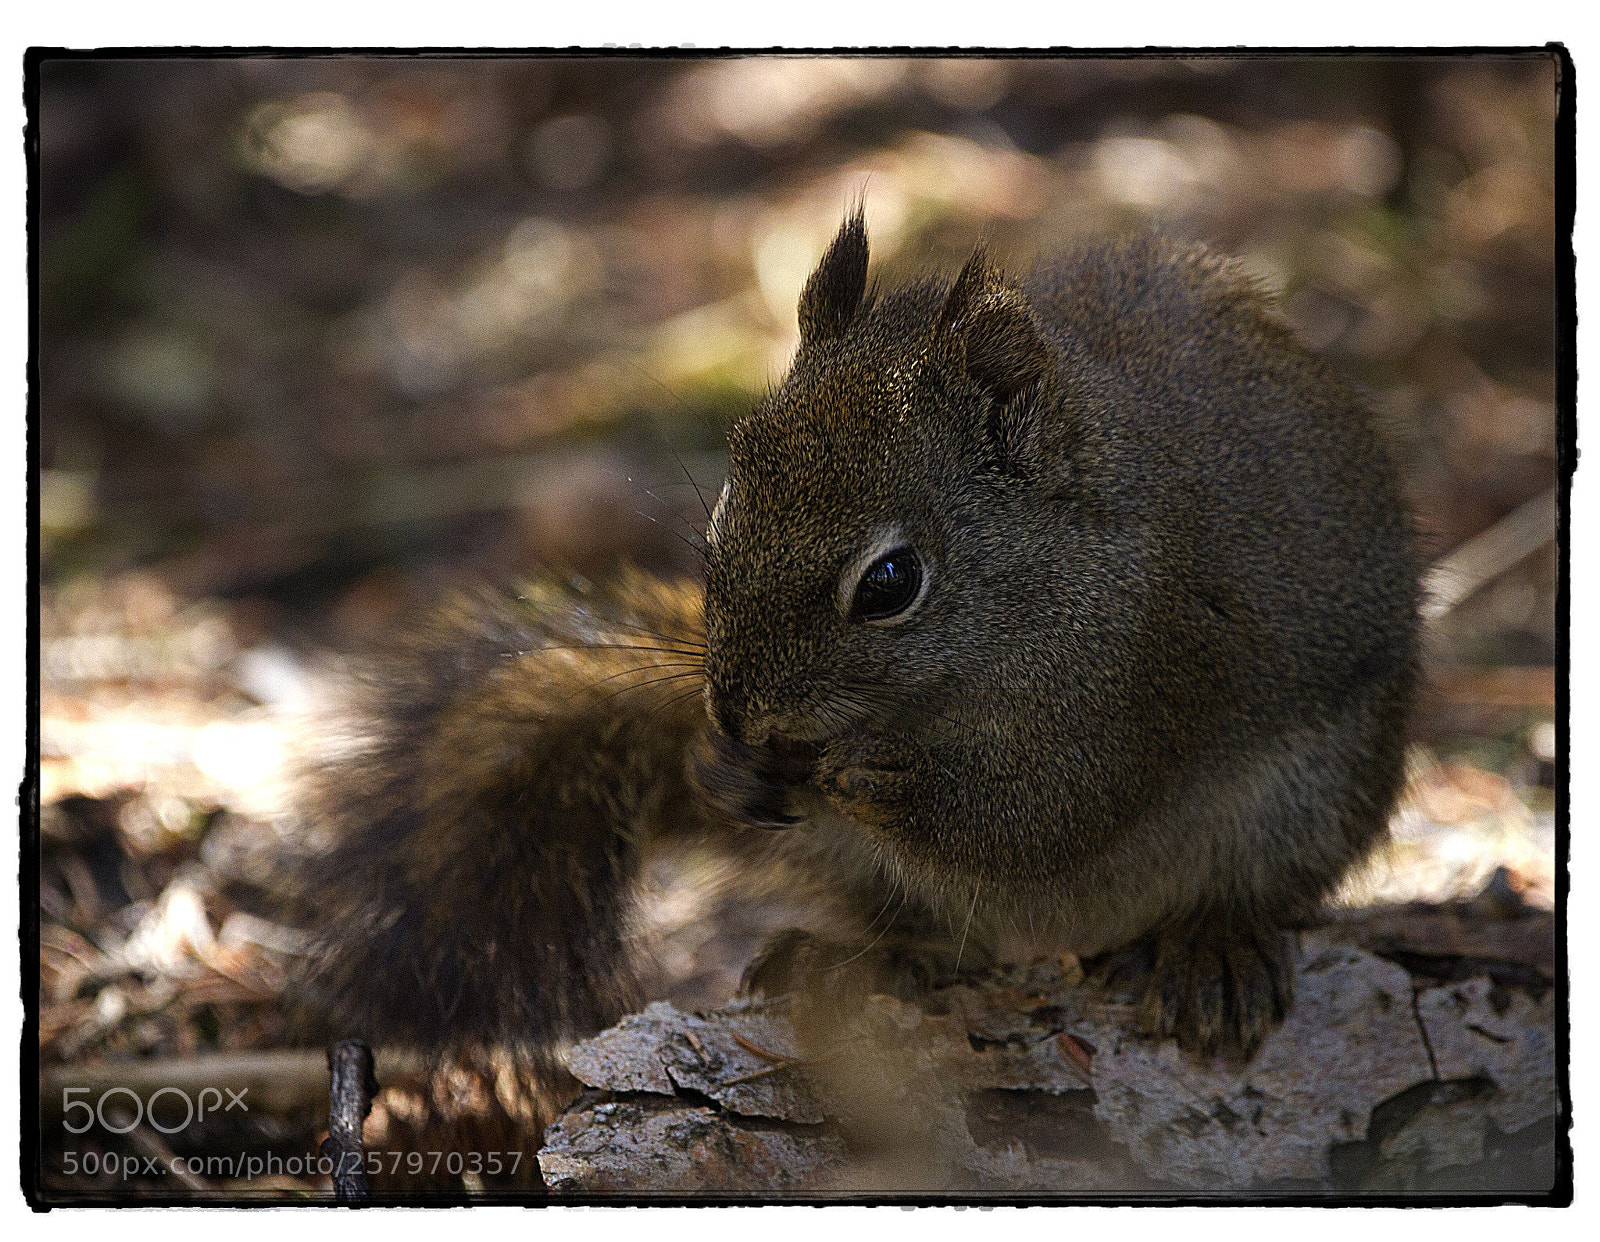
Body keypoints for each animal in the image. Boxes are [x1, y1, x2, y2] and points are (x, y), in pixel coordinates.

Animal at [294, 210, 1419, 1075]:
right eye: (720, 519)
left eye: (889, 584)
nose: (738, 713)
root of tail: (1066, 939)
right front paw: (718, 765)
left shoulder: (1154, 668)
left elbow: (1045, 817)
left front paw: (876, 787)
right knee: (938, 938)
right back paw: (857, 957)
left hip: (1308, 794)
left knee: (1252, 887)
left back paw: (1213, 945)